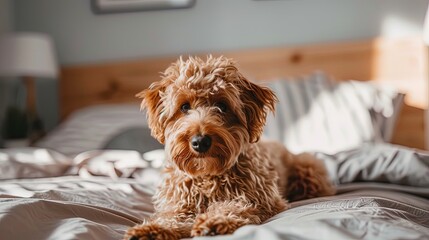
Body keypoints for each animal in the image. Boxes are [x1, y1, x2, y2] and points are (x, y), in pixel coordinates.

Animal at [123, 56, 334, 240]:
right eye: (184, 107)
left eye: (222, 106)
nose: (200, 142)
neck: (207, 176)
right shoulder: (178, 205)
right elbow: (171, 218)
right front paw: (152, 229)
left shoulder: (260, 199)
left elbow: (235, 206)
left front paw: (216, 220)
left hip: (308, 168)